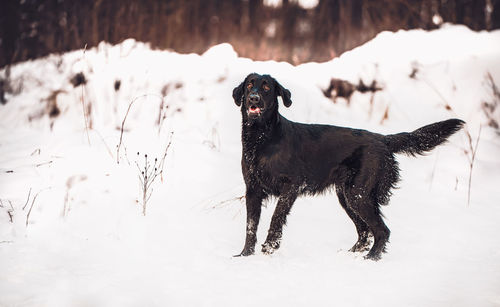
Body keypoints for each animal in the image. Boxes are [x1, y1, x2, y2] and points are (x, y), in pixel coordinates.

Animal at [231, 73, 464, 262]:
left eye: (266, 88)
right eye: (250, 85)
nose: (254, 98)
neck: (262, 139)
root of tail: (382, 139)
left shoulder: (292, 186)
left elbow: (276, 218)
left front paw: (270, 247)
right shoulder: (252, 190)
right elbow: (250, 226)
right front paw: (245, 255)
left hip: (357, 194)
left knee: (381, 230)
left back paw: (371, 259)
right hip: (346, 195)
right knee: (364, 232)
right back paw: (350, 255)